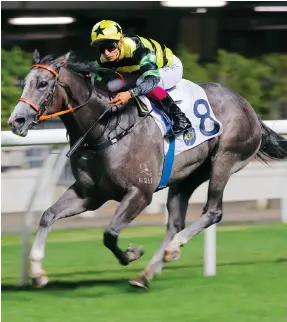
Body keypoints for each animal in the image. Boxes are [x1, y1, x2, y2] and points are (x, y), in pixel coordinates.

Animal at [7, 51, 286, 290]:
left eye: (43, 84)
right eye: (24, 83)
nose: (16, 121)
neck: (106, 127)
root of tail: (248, 107)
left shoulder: (140, 192)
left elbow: (109, 234)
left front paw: (131, 253)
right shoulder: (90, 195)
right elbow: (47, 215)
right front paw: (37, 273)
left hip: (224, 160)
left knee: (213, 211)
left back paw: (174, 247)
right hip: (186, 177)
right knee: (174, 223)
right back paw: (147, 273)